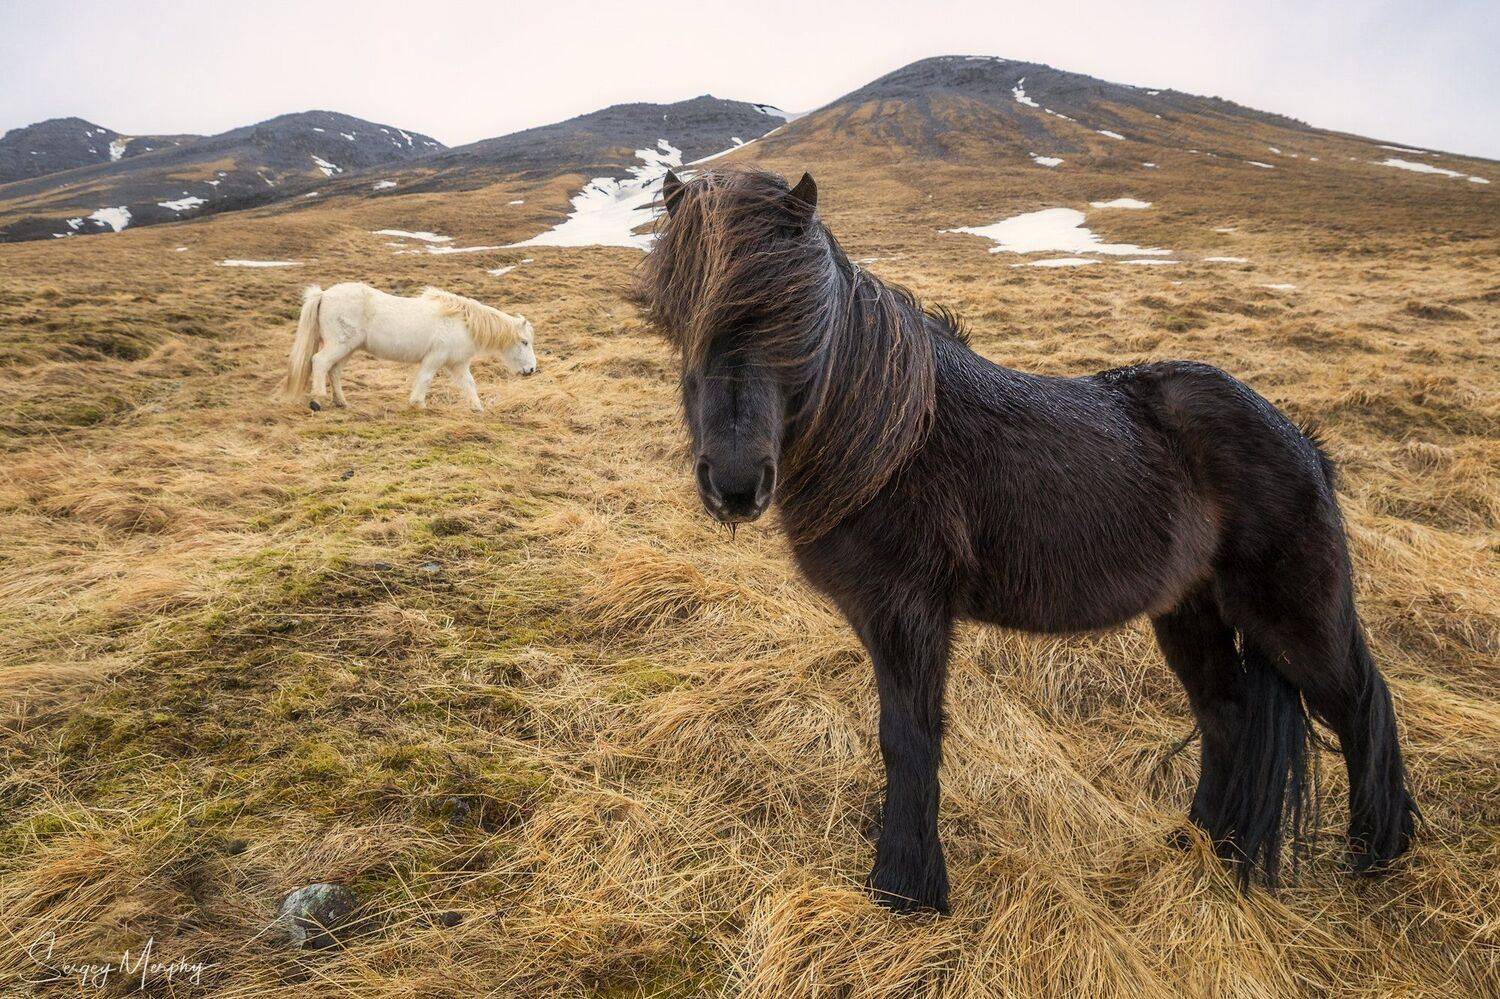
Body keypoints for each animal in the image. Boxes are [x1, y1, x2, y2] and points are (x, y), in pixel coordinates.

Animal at [279, 282, 537, 411]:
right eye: (524, 342)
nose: (531, 370)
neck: (462, 323)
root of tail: (323, 295)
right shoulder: (435, 358)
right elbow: (425, 379)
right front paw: (418, 404)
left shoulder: (458, 364)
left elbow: (469, 384)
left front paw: (477, 408)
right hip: (339, 345)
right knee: (320, 362)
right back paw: (317, 400)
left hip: (348, 349)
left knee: (334, 371)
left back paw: (341, 402)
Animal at [640, 167, 1416, 914]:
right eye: (681, 320)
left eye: (796, 317)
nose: (736, 482)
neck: (887, 436)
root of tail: (1305, 446)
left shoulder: (910, 614)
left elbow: (908, 737)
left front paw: (905, 889)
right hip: (1189, 614)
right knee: (1227, 716)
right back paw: (1202, 846)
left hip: (1293, 622)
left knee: (1360, 705)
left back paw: (1378, 854)